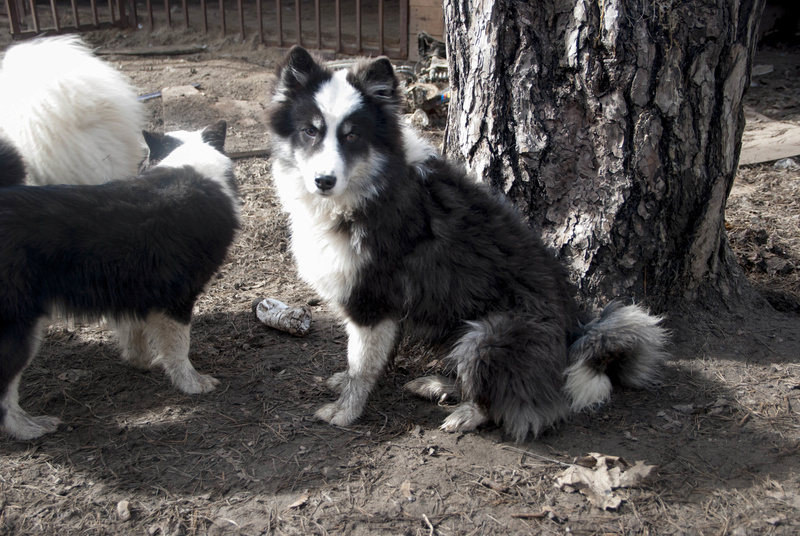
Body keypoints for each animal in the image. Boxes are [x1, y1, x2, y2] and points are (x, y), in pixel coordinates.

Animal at [0, 121, 239, 440]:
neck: (190, 165)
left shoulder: (130, 290)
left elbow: (134, 332)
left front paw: (142, 361)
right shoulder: (177, 298)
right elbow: (179, 347)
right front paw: (192, 383)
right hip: (19, 327)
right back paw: (28, 428)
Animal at [268, 47, 668, 440]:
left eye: (352, 136)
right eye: (310, 131)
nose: (323, 181)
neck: (371, 186)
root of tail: (575, 334)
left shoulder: (372, 300)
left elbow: (361, 365)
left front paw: (346, 411)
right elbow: (373, 359)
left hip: (488, 334)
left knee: (514, 403)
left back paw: (466, 412)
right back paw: (439, 386)